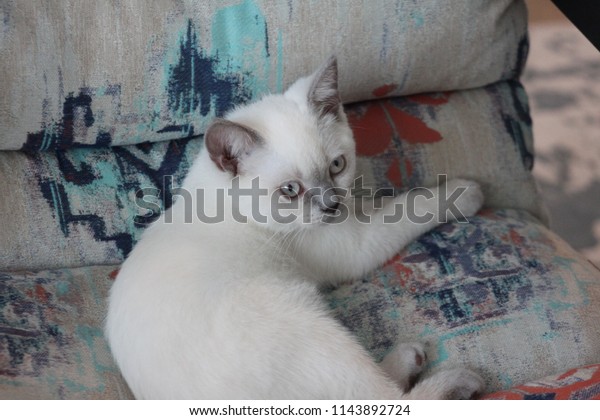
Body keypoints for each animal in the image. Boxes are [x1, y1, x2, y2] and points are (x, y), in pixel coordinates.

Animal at [105, 56, 486, 400]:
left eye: (337, 166)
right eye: (290, 190)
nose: (332, 205)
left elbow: (383, 205)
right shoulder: (355, 245)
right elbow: (412, 205)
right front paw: (467, 192)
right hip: (308, 322)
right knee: (387, 398)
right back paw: (442, 372)